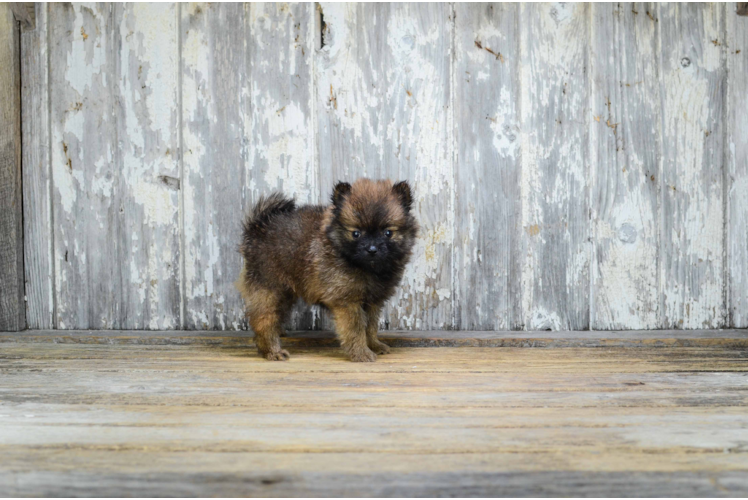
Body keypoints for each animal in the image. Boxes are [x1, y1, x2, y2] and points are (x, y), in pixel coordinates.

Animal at [237, 178, 418, 362]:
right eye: (356, 233)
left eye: (388, 232)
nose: (372, 249)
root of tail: (258, 227)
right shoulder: (348, 301)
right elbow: (356, 329)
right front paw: (361, 352)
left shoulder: (372, 302)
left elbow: (370, 327)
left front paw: (374, 345)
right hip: (270, 289)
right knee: (263, 320)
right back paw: (272, 351)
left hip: (284, 293)